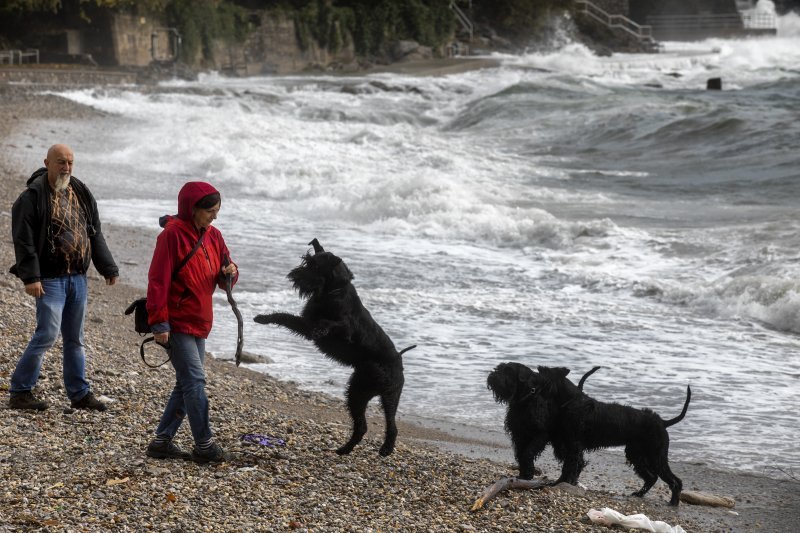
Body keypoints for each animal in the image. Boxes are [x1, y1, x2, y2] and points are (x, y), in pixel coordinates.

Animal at [253, 239, 416, 456]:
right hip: (360, 393)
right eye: (306, 261)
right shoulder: (305, 325)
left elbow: (331, 323)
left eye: (314, 266)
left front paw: (322, 328)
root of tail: (399, 359)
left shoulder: (342, 329)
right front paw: (263, 318)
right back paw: (345, 449)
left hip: (386, 396)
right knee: (362, 426)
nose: (294, 275)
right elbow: (284, 317)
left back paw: (386, 449)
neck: (333, 291)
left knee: (390, 425)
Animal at [484, 364, 692, 504]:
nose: (492, 375)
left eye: (542, 374)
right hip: (636, 454)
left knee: (674, 481)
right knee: (651, 477)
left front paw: (560, 483)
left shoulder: (569, 443)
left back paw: (673, 502)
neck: (571, 401)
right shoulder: (560, 442)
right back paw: (639, 494)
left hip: (656, 456)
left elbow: (567, 466)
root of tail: (663, 422)